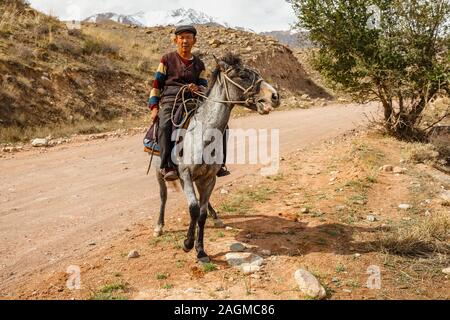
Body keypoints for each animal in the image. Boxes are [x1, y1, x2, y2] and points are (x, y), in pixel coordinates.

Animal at [151, 53, 280, 262]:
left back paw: (216, 217)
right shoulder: (185, 174)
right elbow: (193, 209)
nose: (275, 96)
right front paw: (187, 244)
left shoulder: (209, 177)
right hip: (159, 171)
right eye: (242, 75)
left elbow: (201, 214)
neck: (203, 132)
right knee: (163, 196)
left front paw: (201, 250)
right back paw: (159, 226)